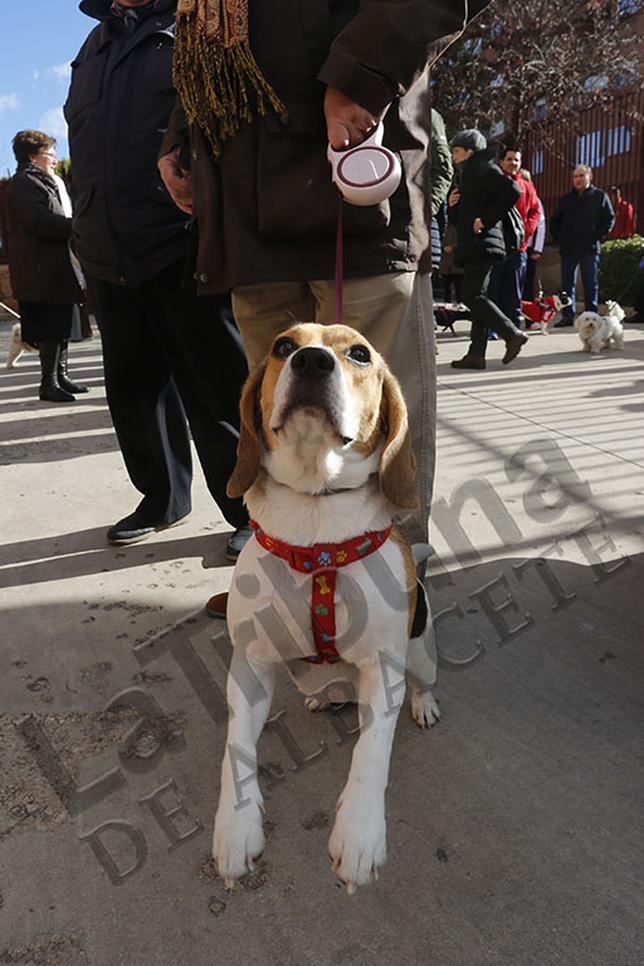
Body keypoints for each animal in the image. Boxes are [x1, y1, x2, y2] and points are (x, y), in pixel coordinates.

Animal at [214, 322, 440, 896]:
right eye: (282, 347)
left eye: (359, 353)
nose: (313, 362)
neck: (316, 520)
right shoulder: (248, 668)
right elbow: (236, 750)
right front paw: (235, 828)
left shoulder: (383, 671)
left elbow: (371, 753)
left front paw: (359, 834)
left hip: (420, 654)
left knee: (422, 680)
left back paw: (424, 703)